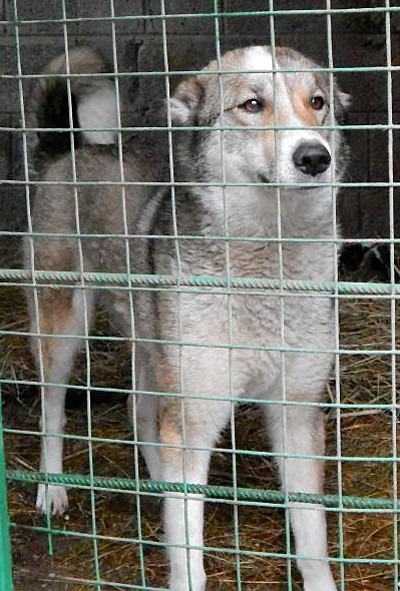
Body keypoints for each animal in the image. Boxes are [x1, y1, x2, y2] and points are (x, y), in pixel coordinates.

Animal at [25, 45, 350, 591]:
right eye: (252, 105)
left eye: (317, 102)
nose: (314, 157)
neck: (267, 257)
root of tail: (66, 150)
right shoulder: (196, 412)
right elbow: (188, 553)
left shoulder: (297, 411)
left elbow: (312, 538)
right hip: (62, 326)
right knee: (54, 410)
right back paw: (52, 489)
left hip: (154, 344)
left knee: (140, 411)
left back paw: (161, 484)